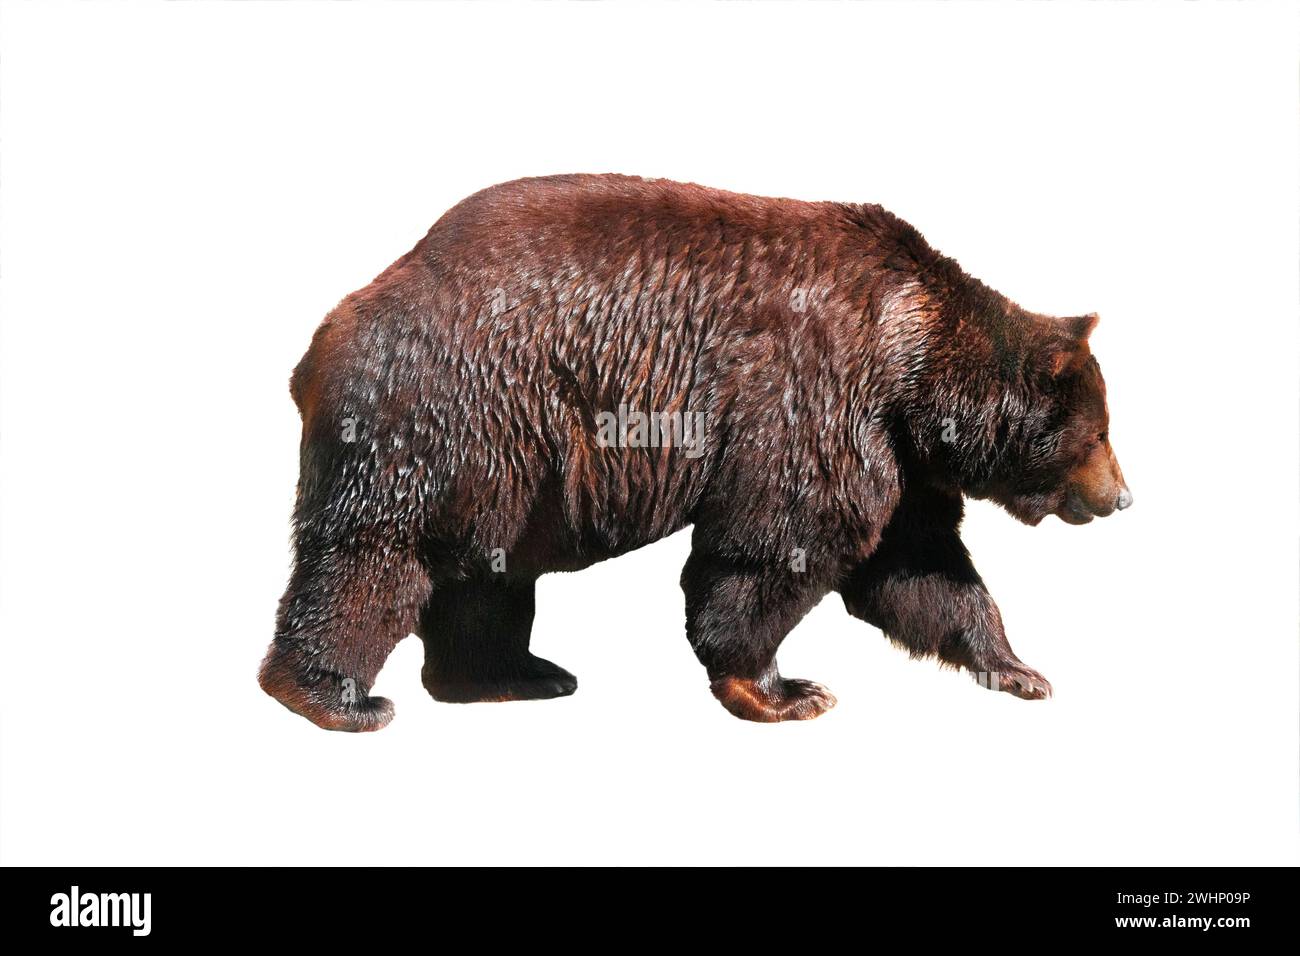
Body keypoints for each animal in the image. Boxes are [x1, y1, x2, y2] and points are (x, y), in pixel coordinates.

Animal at [258, 173, 1132, 731]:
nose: (1123, 495)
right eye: (1098, 432)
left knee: (488, 574)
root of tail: (329, 332)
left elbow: (922, 568)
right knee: (377, 558)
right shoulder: (815, 396)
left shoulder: (900, 458)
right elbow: (779, 545)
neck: (913, 360)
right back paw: (335, 697)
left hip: (513, 463)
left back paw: (515, 674)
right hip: (446, 412)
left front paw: (1019, 669)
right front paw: (784, 688)